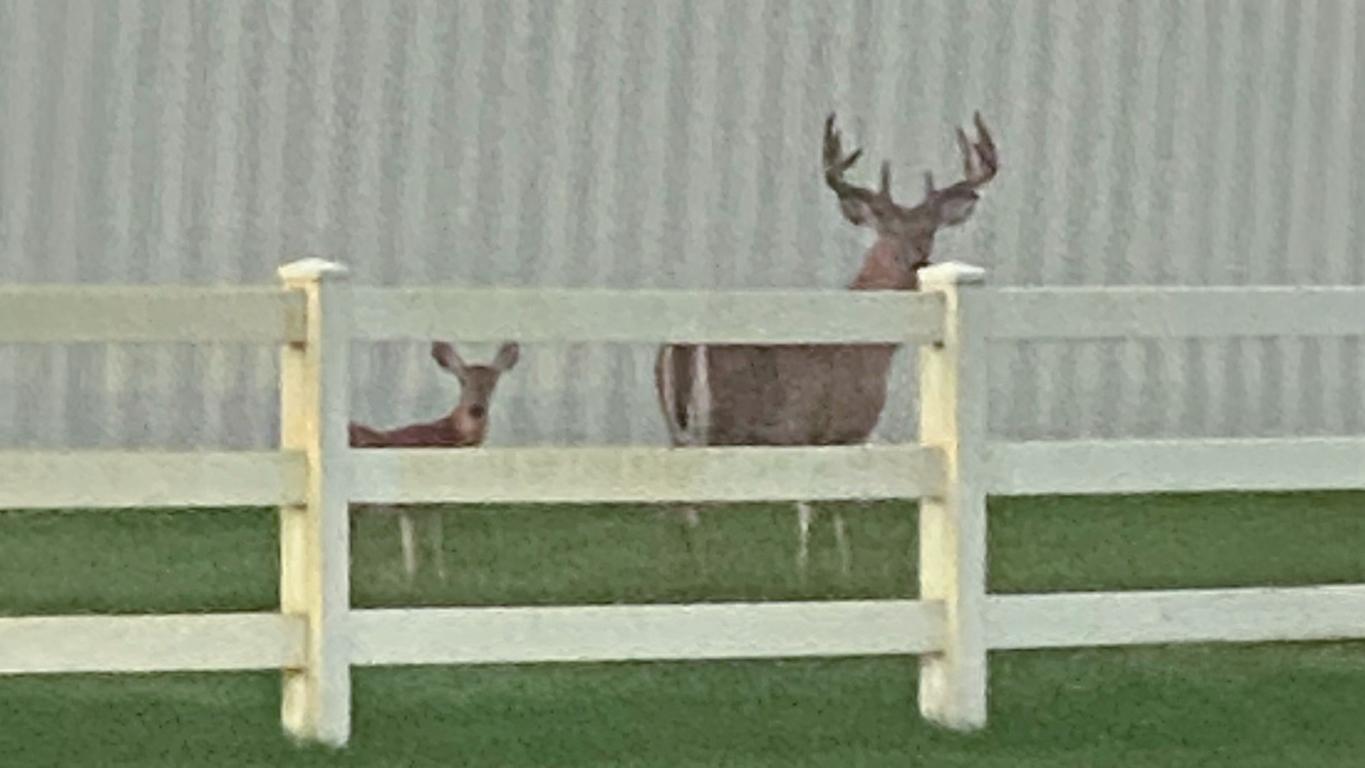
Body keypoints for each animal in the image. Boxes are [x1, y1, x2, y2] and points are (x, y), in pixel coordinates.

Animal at [348, 340, 520, 583]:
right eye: (462, 381)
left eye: (492, 382)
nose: (476, 409)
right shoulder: (410, 500)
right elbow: (413, 543)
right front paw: (413, 579)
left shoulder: (430, 502)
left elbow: (434, 540)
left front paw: (439, 576)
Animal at [654, 111, 998, 579]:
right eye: (887, 231)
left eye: (930, 230)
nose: (919, 259)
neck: (870, 349)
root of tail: (679, 350)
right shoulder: (834, 426)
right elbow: (823, 505)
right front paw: (820, 571)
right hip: (710, 426)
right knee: (691, 505)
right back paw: (701, 571)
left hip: (678, 427)